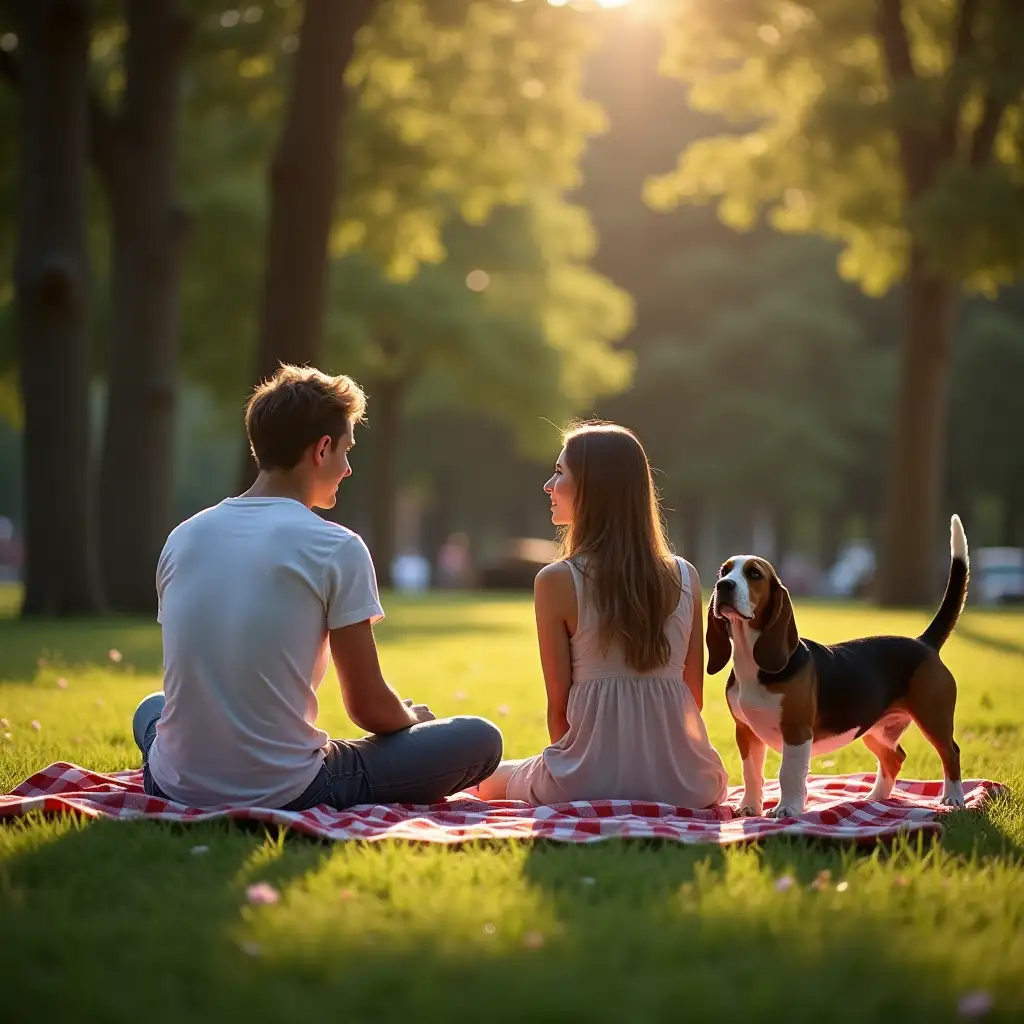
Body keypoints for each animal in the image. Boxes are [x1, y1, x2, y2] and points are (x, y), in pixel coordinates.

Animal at [704, 516, 966, 819]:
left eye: (754, 574)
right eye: (724, 571)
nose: (723, 585)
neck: (752, 662)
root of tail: (924, 643)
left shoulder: (796, 731)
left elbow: (788, 773)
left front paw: (787, 809)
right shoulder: (745, 732)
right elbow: (751, 773)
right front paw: (749, 807)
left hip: (933, 717)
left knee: (950, 752)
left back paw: (953, 798)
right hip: (876, 730)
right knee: (894, 757)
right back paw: (874, 799)